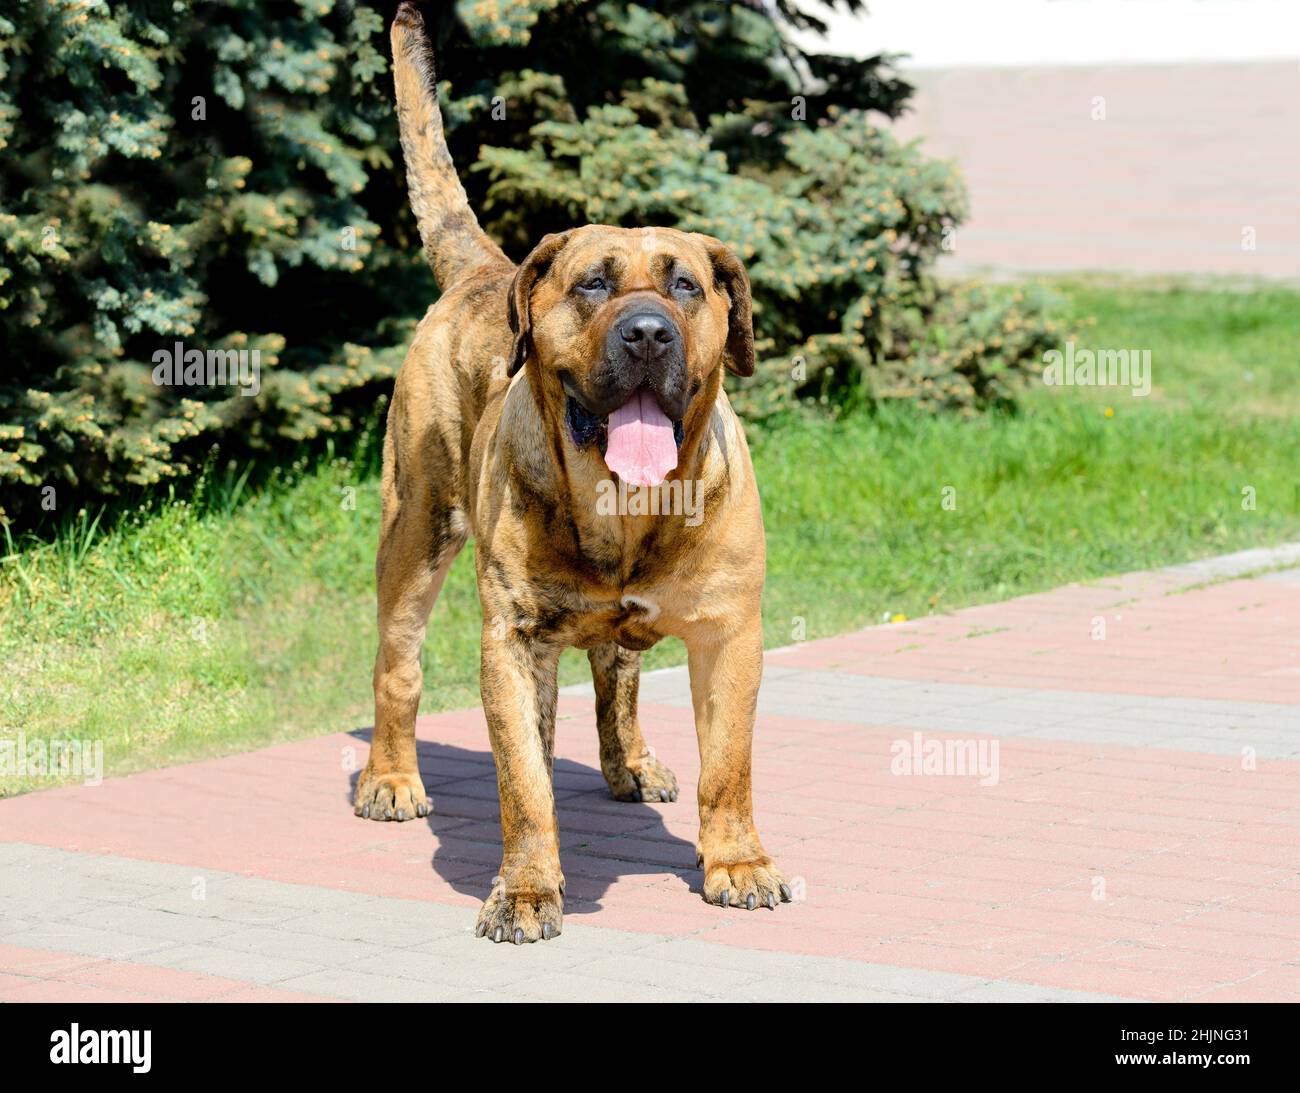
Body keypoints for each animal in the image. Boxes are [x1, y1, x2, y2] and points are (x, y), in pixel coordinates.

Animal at [358, 2, 790, 935]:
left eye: (686, 287)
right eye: (593, 285)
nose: (648, 332)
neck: (623, 508)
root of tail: (489, 268)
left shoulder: (730, 632)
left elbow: (730, 765)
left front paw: (738, 861)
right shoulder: (512, 640)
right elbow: (524, 783)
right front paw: (526, 888)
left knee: (616, 670)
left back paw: (632, 763)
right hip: (414, 527)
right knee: (398, 663)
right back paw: (390, 776)